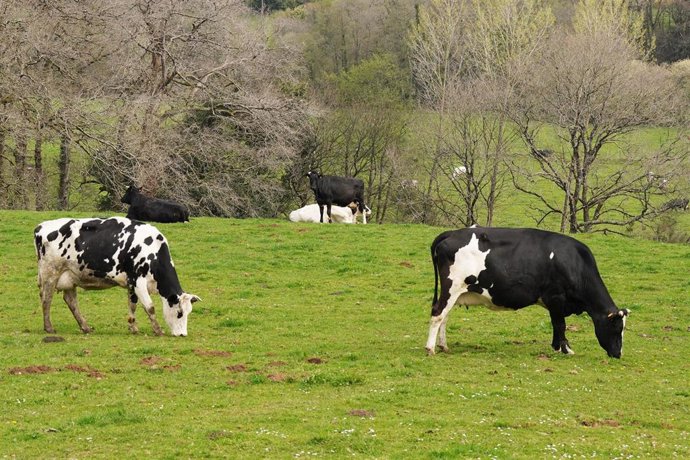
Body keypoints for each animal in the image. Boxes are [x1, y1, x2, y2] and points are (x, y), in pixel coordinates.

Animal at [34, 217, 200, 336]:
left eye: (189, 312)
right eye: (179, 313)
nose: (183, 334)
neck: (152, 250)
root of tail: (41, 226)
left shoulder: (132, 283)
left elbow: (132, 305)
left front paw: (133, 326)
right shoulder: (139, 282)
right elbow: (150, 307)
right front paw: (158, 330)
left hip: (70, 276)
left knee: (71, 301)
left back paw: (85, 327)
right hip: (50, 273)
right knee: (46, 299)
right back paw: (49, 328)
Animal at [426, 227, 630, 358]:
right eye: (616, 328)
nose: (618, 354)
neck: (574, 262)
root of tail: (451, 233)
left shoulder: (554, 303)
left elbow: (555, 324)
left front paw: (557, 347)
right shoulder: (556, 297)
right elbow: (560, 324)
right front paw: (566, 349)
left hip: (455, 292)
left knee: (445, 316)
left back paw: (443, 346)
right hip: (451, 287)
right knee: (438, 314)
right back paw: (430, 348)